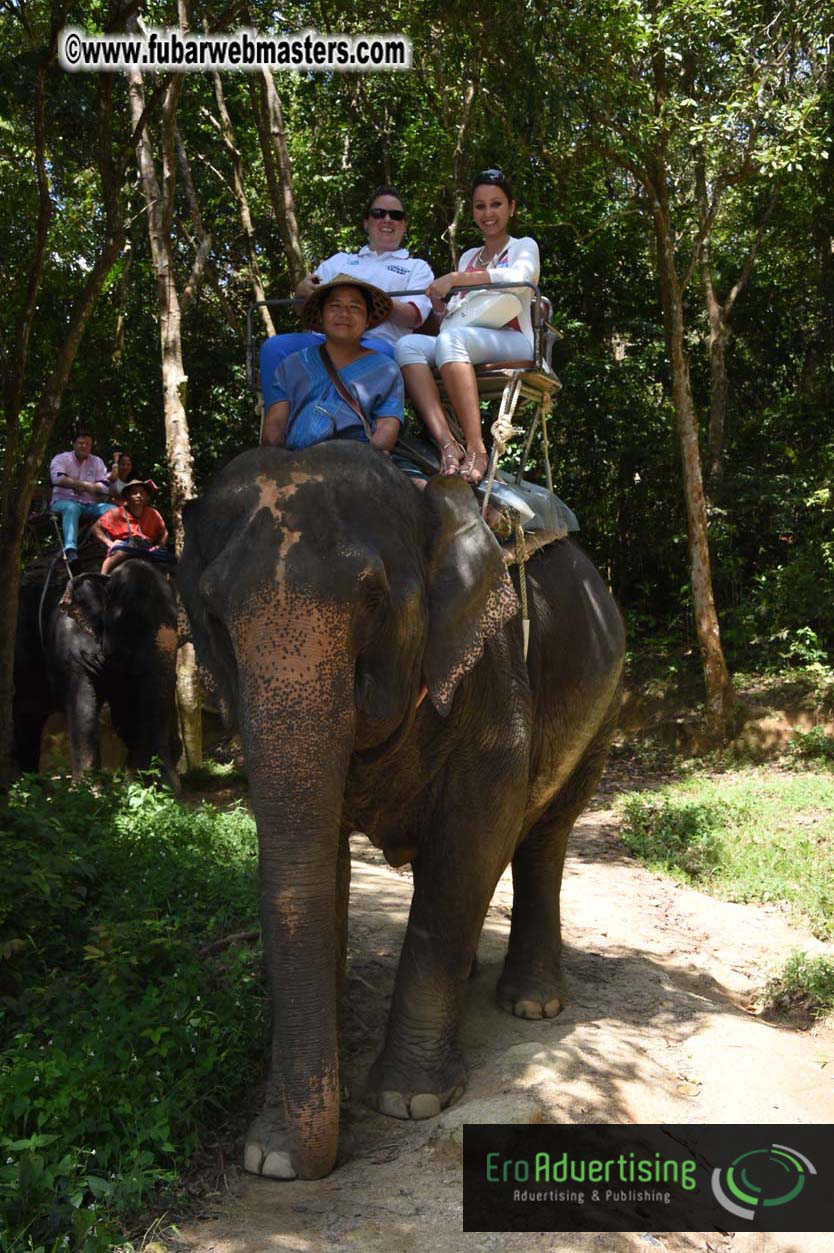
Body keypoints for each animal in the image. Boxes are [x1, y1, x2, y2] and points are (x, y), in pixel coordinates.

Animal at [13, 556, 180, 788]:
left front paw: (134, 782)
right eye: (136, 622)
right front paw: (90, 789)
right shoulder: (68, 640)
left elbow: (126, 710)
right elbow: (82, 703)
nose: (173, 787)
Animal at [177, 443, 625, 1182]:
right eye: (211, 613)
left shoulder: (492, 665)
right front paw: (273, 1153)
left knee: (545, 834)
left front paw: (407, 1100)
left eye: (374, 598)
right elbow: (318, 865)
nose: (314, 1167)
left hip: (609, 695)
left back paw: (531, 1003)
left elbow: (476, 832)